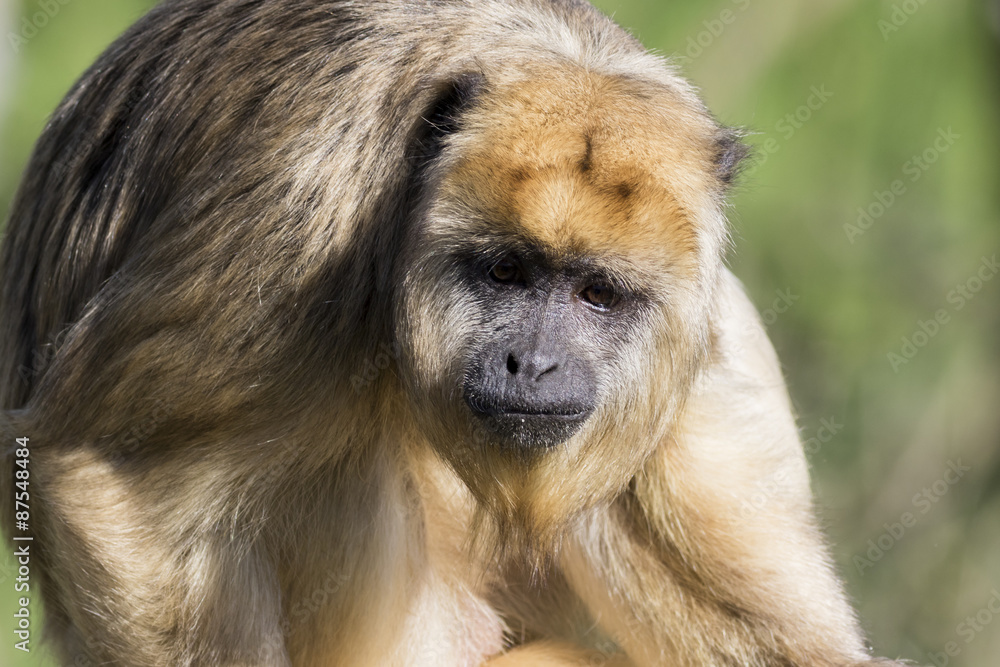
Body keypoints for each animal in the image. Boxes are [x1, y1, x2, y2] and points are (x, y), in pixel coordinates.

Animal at [0, 0, 911, 665]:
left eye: (597, 294)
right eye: (505, 271)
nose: (533, 363)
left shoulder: (695, 326)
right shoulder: (298, 204)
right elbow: (112, 475)